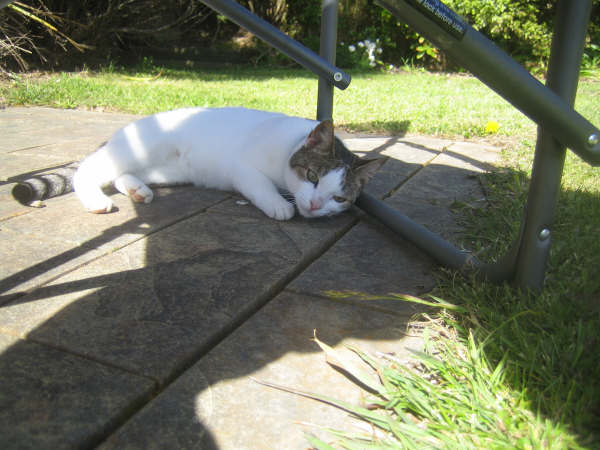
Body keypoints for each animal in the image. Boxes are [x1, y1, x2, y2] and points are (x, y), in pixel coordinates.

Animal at [71, 107, 384, 220]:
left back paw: (137, 190)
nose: (317, 206)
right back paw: (96, 200)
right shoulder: (241, 167)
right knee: (87, 169)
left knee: (121, 175)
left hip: (164, 171)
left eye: (339, 198)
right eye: (312, 176)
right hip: (139, 149)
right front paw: (279, 204)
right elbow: (260, 183)